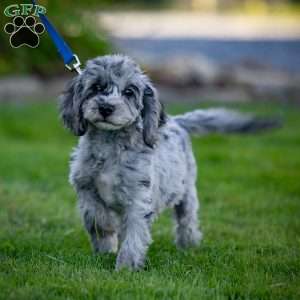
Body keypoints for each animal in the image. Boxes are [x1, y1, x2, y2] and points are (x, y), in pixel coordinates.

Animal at [59, 54, 278, 272]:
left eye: (129, 92)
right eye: (96, 87)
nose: (105, 108)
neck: (109, 145)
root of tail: (177, 121)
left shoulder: (138, 199)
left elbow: (134, 235)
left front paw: (126, 267)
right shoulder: (85, 186)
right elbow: (97, 217)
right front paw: (105, 246)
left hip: (187, 192)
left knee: (187, 221)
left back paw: (189, 245)